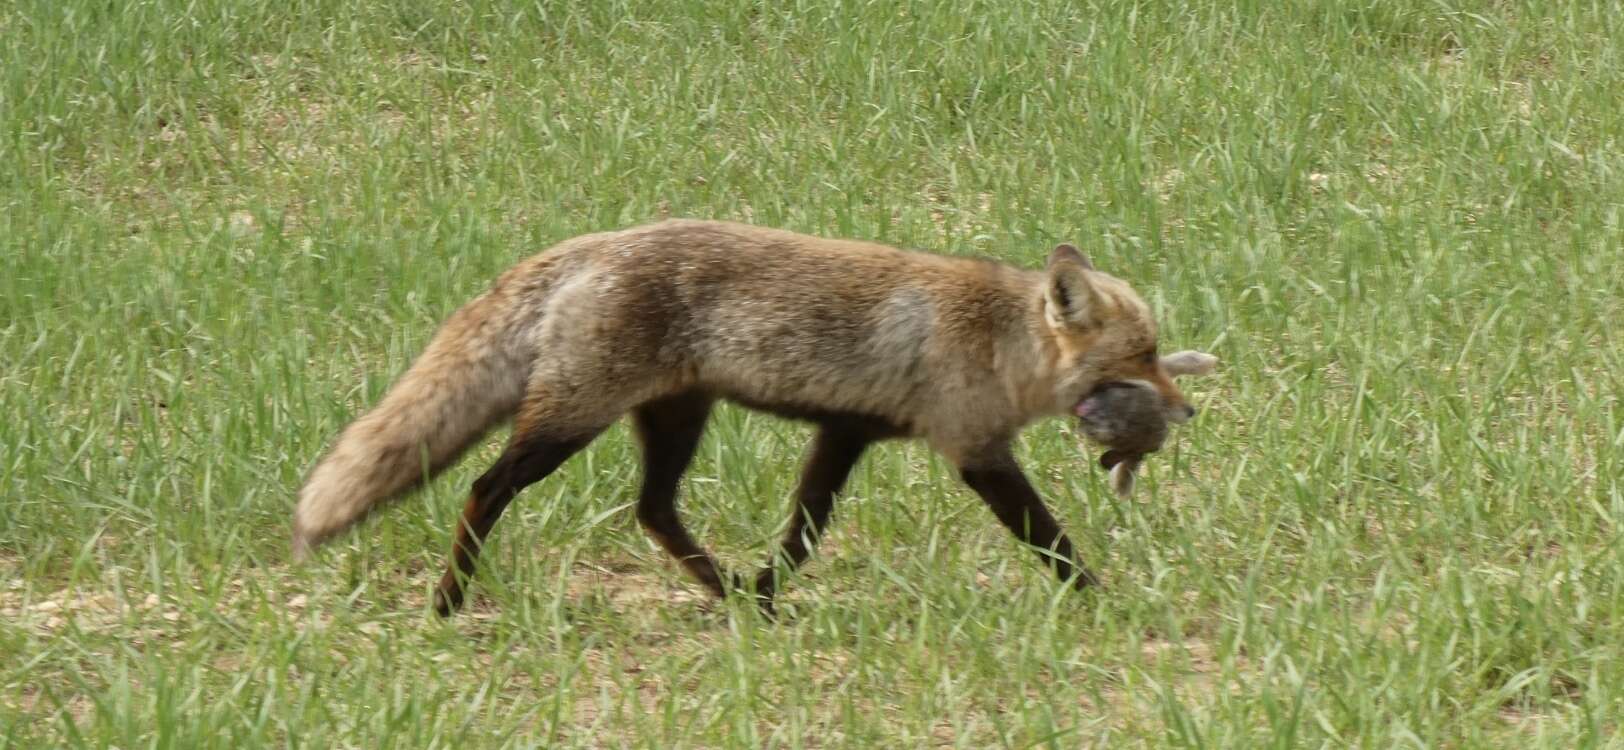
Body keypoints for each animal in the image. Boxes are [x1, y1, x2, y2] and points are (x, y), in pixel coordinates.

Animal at [289, 217, 1208, 613]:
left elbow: (804, 532)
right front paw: (1104, 601)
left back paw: (726, 594)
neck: (996, 345)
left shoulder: (848, 429)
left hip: (674, 420)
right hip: (568, 422)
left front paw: (767, 593)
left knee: (653, 511)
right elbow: (1050, 539)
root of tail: (589, 245)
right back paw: (448, 601)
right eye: (1144, 356)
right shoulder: (973, 449)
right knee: (483, 490)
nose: (1190, 407)